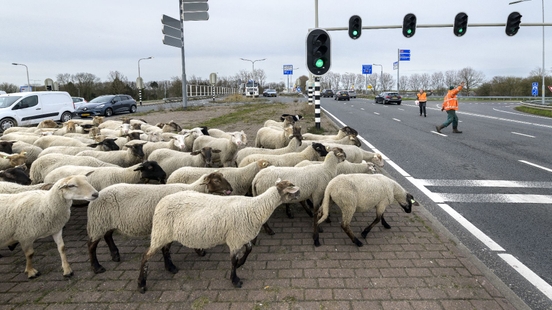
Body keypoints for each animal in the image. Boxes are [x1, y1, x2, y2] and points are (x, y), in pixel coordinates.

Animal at [87, 172, 234, 274]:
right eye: (216, 180)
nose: (231, 189)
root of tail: (97, 196)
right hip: (98, 222)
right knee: (92, 246)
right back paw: (97, 267)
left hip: (107, 221)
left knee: (108, 236)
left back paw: (115, 255)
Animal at [136, 178, 300, 292]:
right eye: (291, 189)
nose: (300, 195)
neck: (256, 207)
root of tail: (161, 202)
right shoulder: (235, 239)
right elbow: (233, 261)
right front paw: (235, 280)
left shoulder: (242, 235)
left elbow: (249, 250)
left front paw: (241, 263)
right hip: (160, 231)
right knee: (145, 256)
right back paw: (141, 284)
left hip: (167, 233)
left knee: (165, 249)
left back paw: (171, 268)